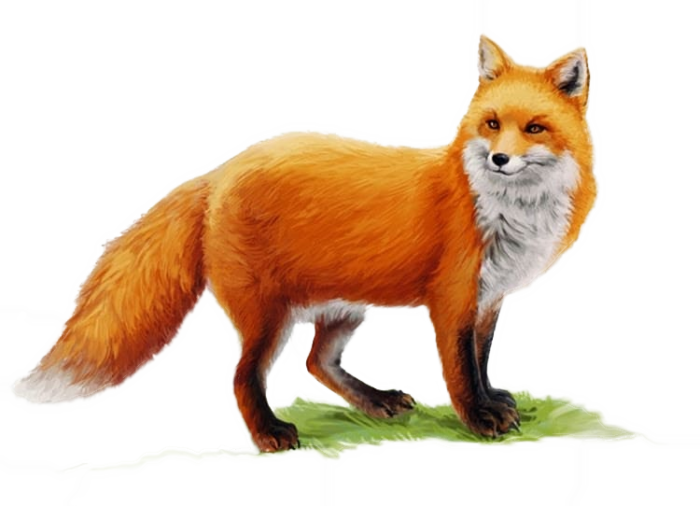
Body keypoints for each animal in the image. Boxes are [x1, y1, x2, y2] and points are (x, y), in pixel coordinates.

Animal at [15, 35, 597, 452]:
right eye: (492, 124)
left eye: (535, 128)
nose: (499, 159)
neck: (505, 213)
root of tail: (219, 172)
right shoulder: (453, 298)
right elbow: (459, 371)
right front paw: (478, 419)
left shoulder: (489, 299)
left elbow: (481, 359)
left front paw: (494, 398)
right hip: (270, 317)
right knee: (242, 377)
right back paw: (269, 434)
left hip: (345, 307)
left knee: (319, 363)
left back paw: (376, 402)